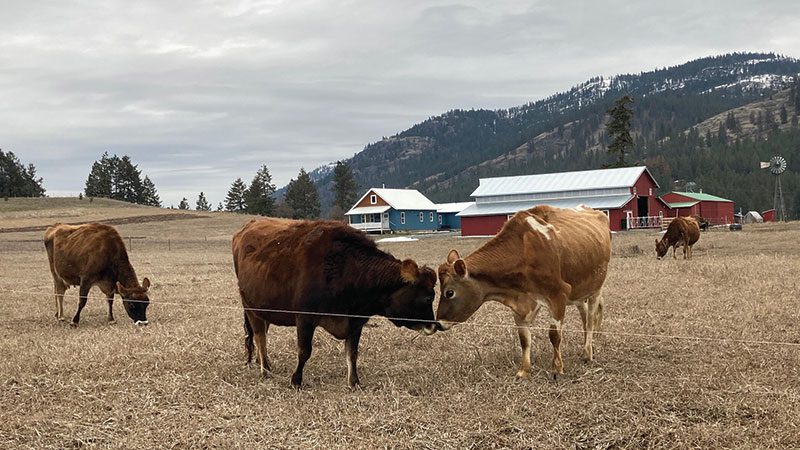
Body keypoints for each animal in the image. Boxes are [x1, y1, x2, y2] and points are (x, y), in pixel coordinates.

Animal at [234, 218, 440, 386]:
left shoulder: (355, 321)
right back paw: (265, 370)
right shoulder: (305, 318)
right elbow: (304, 351)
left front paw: (354, 382)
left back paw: (265, 363)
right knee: (260, 337)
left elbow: (352, 353)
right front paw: (296, 380)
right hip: (250, 307)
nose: (433, 326)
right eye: (428, 298)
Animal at [434, 206, 608, 378]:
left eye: (449, 293)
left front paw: (557, 368)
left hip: (595, 288)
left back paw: (587, 353)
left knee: (590, 319)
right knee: (584, 317)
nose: (438, 324)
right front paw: (524, 370)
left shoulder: (558, 295)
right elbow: (524, 338)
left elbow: (554, 335)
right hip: (579, 292)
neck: (524, 250)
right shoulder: (519, 303)